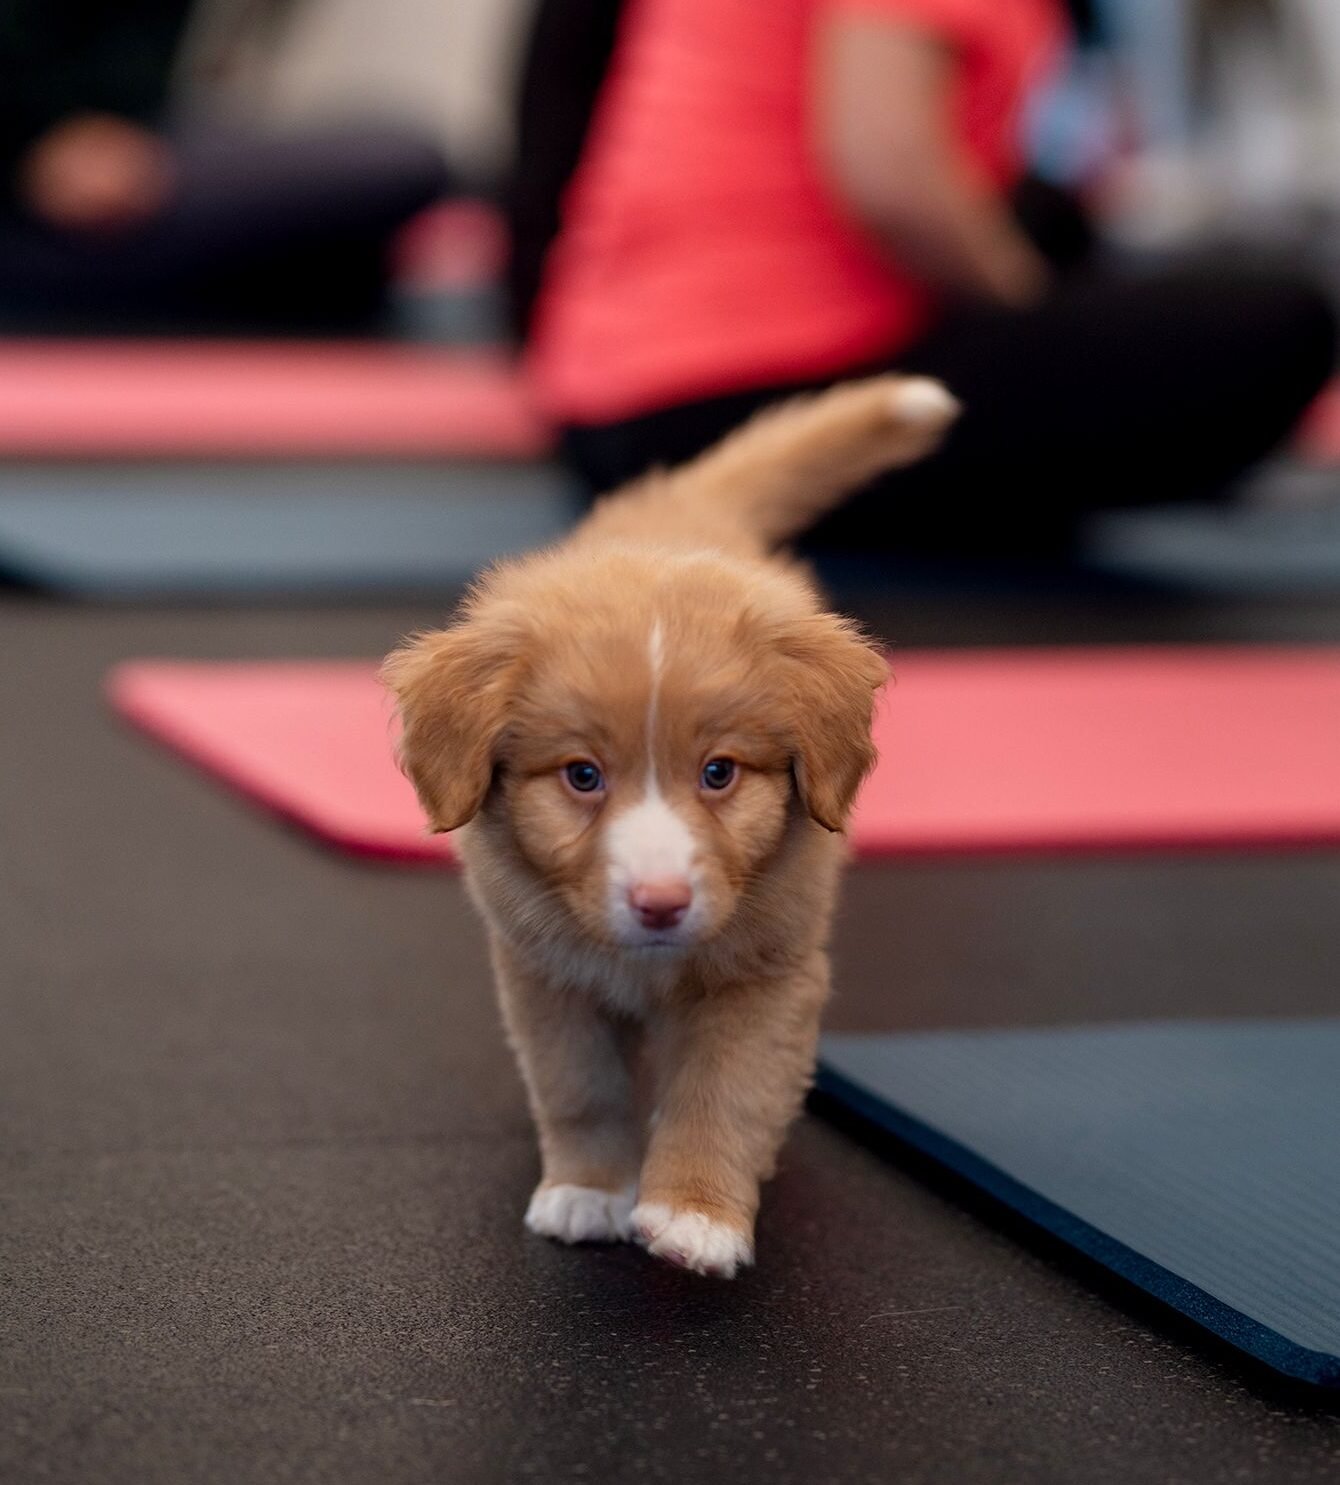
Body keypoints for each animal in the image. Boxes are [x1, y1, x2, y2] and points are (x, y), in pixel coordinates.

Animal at [383, 377, 962, 1283]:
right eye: (582, 775)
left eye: (719, 773)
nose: (660, 902)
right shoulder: (544, 972)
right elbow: (581, 1088)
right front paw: (589, 1189)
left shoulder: (767, 976)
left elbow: (724, 1093)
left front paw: (695, 1215)